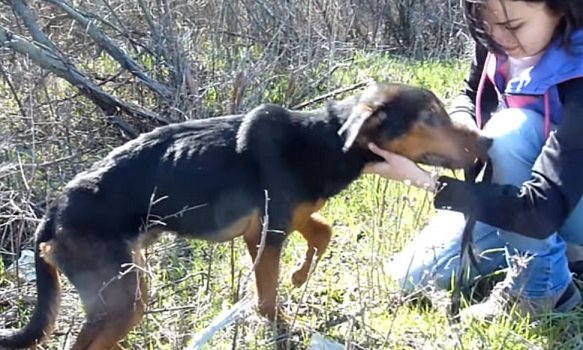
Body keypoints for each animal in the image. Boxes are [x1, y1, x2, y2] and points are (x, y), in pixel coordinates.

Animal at [0, 82, 492, 350]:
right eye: (431, 116)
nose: (486, 142)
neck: (324, 139)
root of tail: (50, 215)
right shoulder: (270, 232)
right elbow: (268, 299)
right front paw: (285, 318)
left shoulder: (271, 226)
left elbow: (322, 232)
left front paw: (299, 276)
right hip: (120, 293)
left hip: (130, 286)